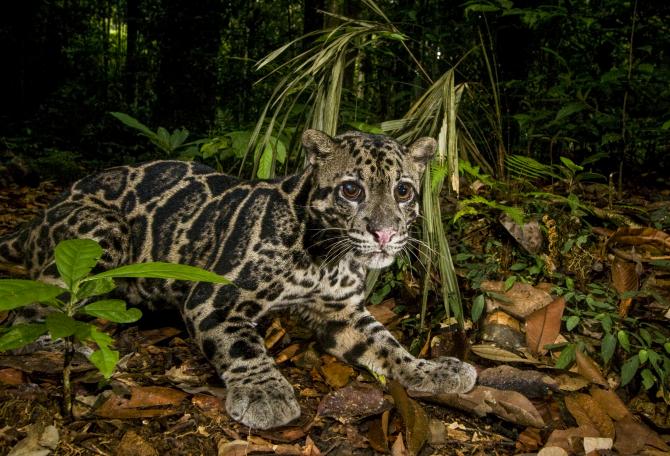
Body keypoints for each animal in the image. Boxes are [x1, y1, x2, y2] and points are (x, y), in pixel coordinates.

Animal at [0, 129, 477, 429]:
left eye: (404, 191)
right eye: (351, 190)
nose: (384, 233)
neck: (328, 258)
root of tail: (42, 213)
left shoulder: (340, 313)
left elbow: (387, 344)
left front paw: (431, 369)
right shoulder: (215, 295)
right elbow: (242, 344)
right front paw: (265, 392)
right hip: (102, 235)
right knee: (33, 309)